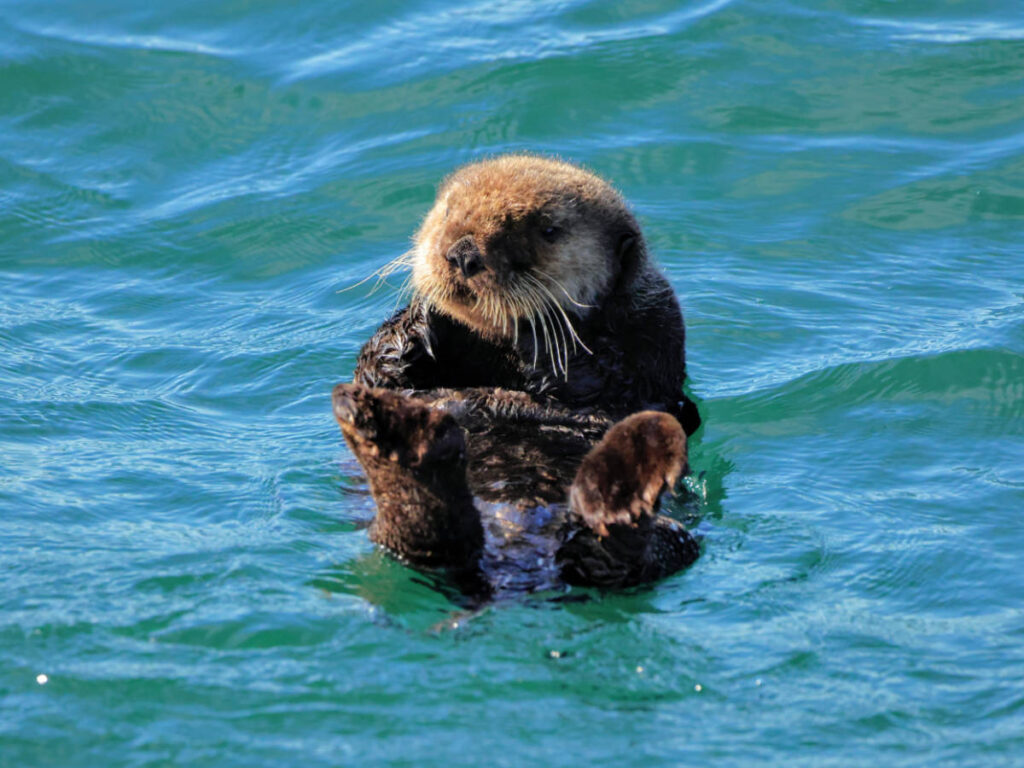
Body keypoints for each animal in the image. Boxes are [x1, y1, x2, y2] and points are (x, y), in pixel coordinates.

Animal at [335, 155, 701, 596]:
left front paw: (540, 332)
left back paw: (626, 478)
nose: (462, 253)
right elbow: (375, 372)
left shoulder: (656, 332)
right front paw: (420, 318)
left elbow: (607, 376)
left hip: (673, 539)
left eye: (549, 231)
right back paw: (397, 440)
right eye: (448, 211)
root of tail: (517, 566)